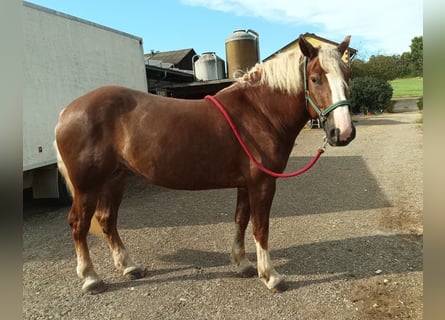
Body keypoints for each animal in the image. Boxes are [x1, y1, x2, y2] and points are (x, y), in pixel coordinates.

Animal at [54, 34, 354, 292]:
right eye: (315, 78)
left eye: (347, 76)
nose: (343, 132)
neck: (258, 112)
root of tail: (67, 110)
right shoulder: (263, 183)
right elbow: (261, 227)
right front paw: (270, 276)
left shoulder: (246, 184)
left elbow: (241, 220)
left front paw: (243, 264)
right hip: (87, 187)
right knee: (78, 224)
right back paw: (91, 278)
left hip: (115, 179)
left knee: (107, 220)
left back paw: (128, 266)